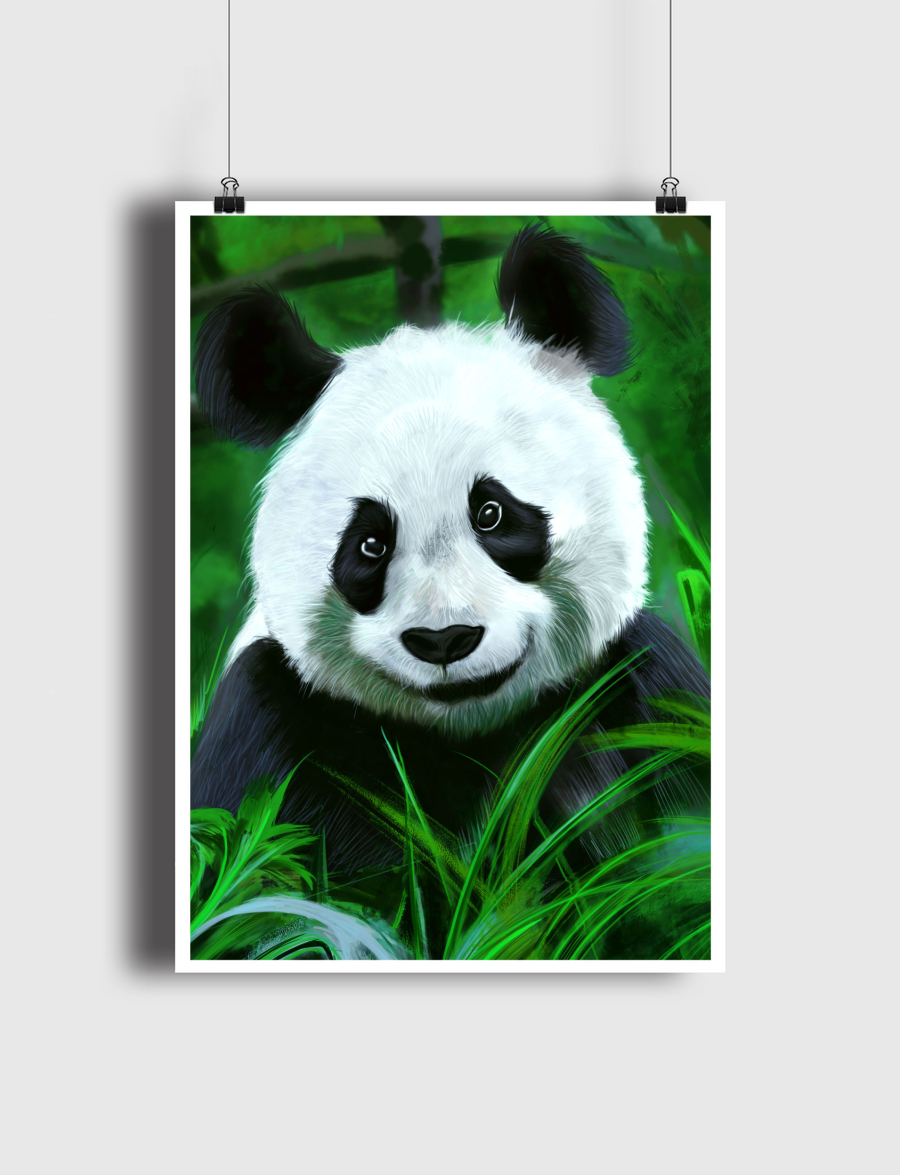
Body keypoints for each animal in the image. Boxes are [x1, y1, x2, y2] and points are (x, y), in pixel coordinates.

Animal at [191, 224, 709, 884]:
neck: (466, 736)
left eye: (491, 513)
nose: (444, 640)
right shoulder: (268, 719)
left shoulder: (639, 687)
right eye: (370, 543)